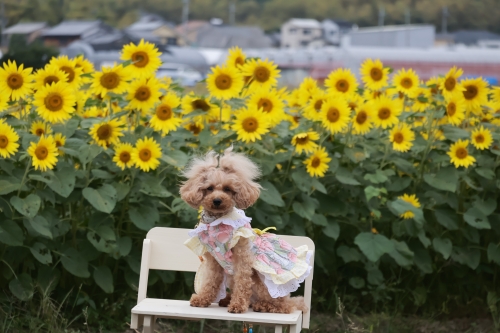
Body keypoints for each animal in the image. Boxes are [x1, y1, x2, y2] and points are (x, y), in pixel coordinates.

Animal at [180, 147, 312, 312]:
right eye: (209, 188)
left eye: (228, 189)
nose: (217, 200)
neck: (217, 221)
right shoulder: (214, 261)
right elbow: (210, 281)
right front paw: (202, 299)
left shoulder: (242, 258)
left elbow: (243, 283)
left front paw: (237, 305)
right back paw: (226, 299)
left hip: (264, 285)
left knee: (284, 306)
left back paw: (262, 305)